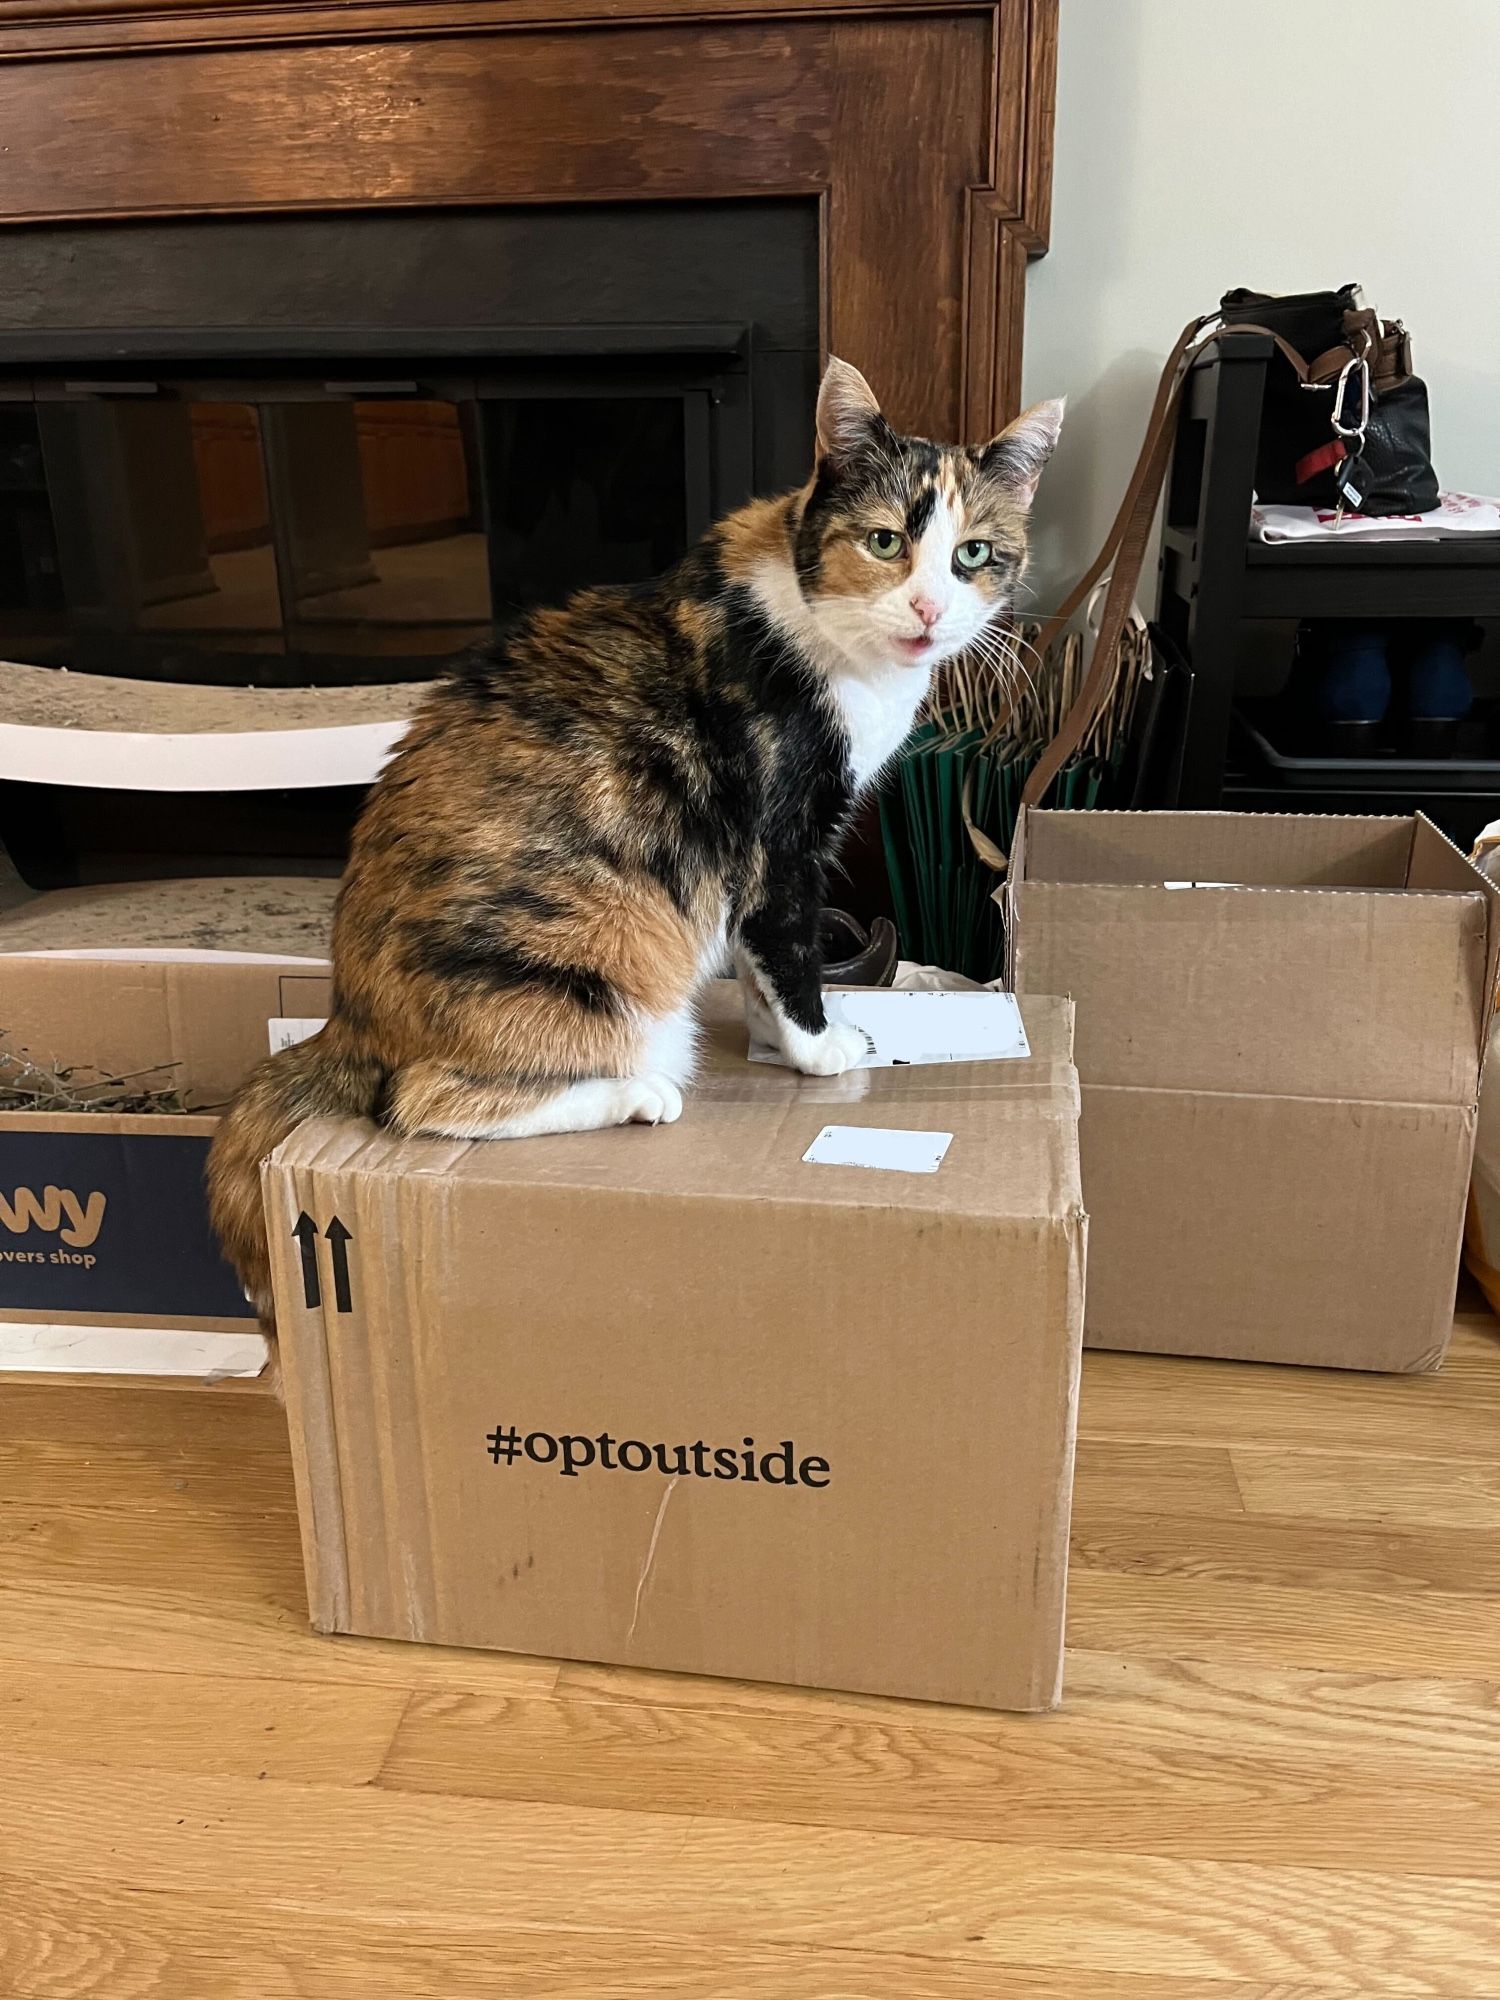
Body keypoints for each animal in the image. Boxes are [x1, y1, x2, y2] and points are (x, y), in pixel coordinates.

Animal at [206, 364, 1064, 1312]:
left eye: (973, 554)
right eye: (884, 542)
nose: (928, 607)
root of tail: (348, 1019)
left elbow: (760, 966)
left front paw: (771, 1043)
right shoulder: (779, 842)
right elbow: (789, 952)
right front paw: (817, 1049)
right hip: (603, 976)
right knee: (422, 1103)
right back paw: (638, 1094)